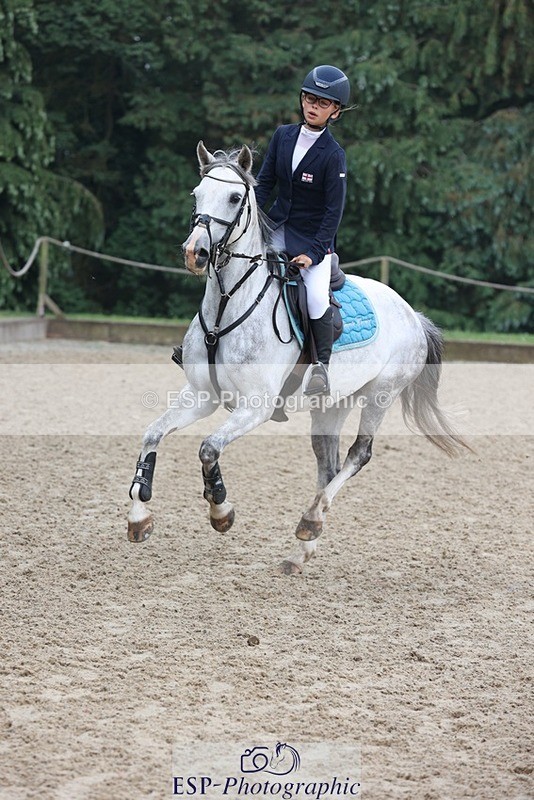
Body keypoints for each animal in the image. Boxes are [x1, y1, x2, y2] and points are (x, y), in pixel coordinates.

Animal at [127, 141, 469, 574]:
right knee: (328, 465)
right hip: (333, 403)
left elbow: (208, 448)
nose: (196, 253)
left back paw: (310, 521)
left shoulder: (255, 407)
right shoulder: (202, 395)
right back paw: (302, 548)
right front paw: (139, 516)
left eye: (235, 198)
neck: (226, 305)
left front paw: (221, 511)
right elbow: (152, 433)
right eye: (196, 195)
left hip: (382, 394)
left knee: (358, 455)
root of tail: (412, 314)